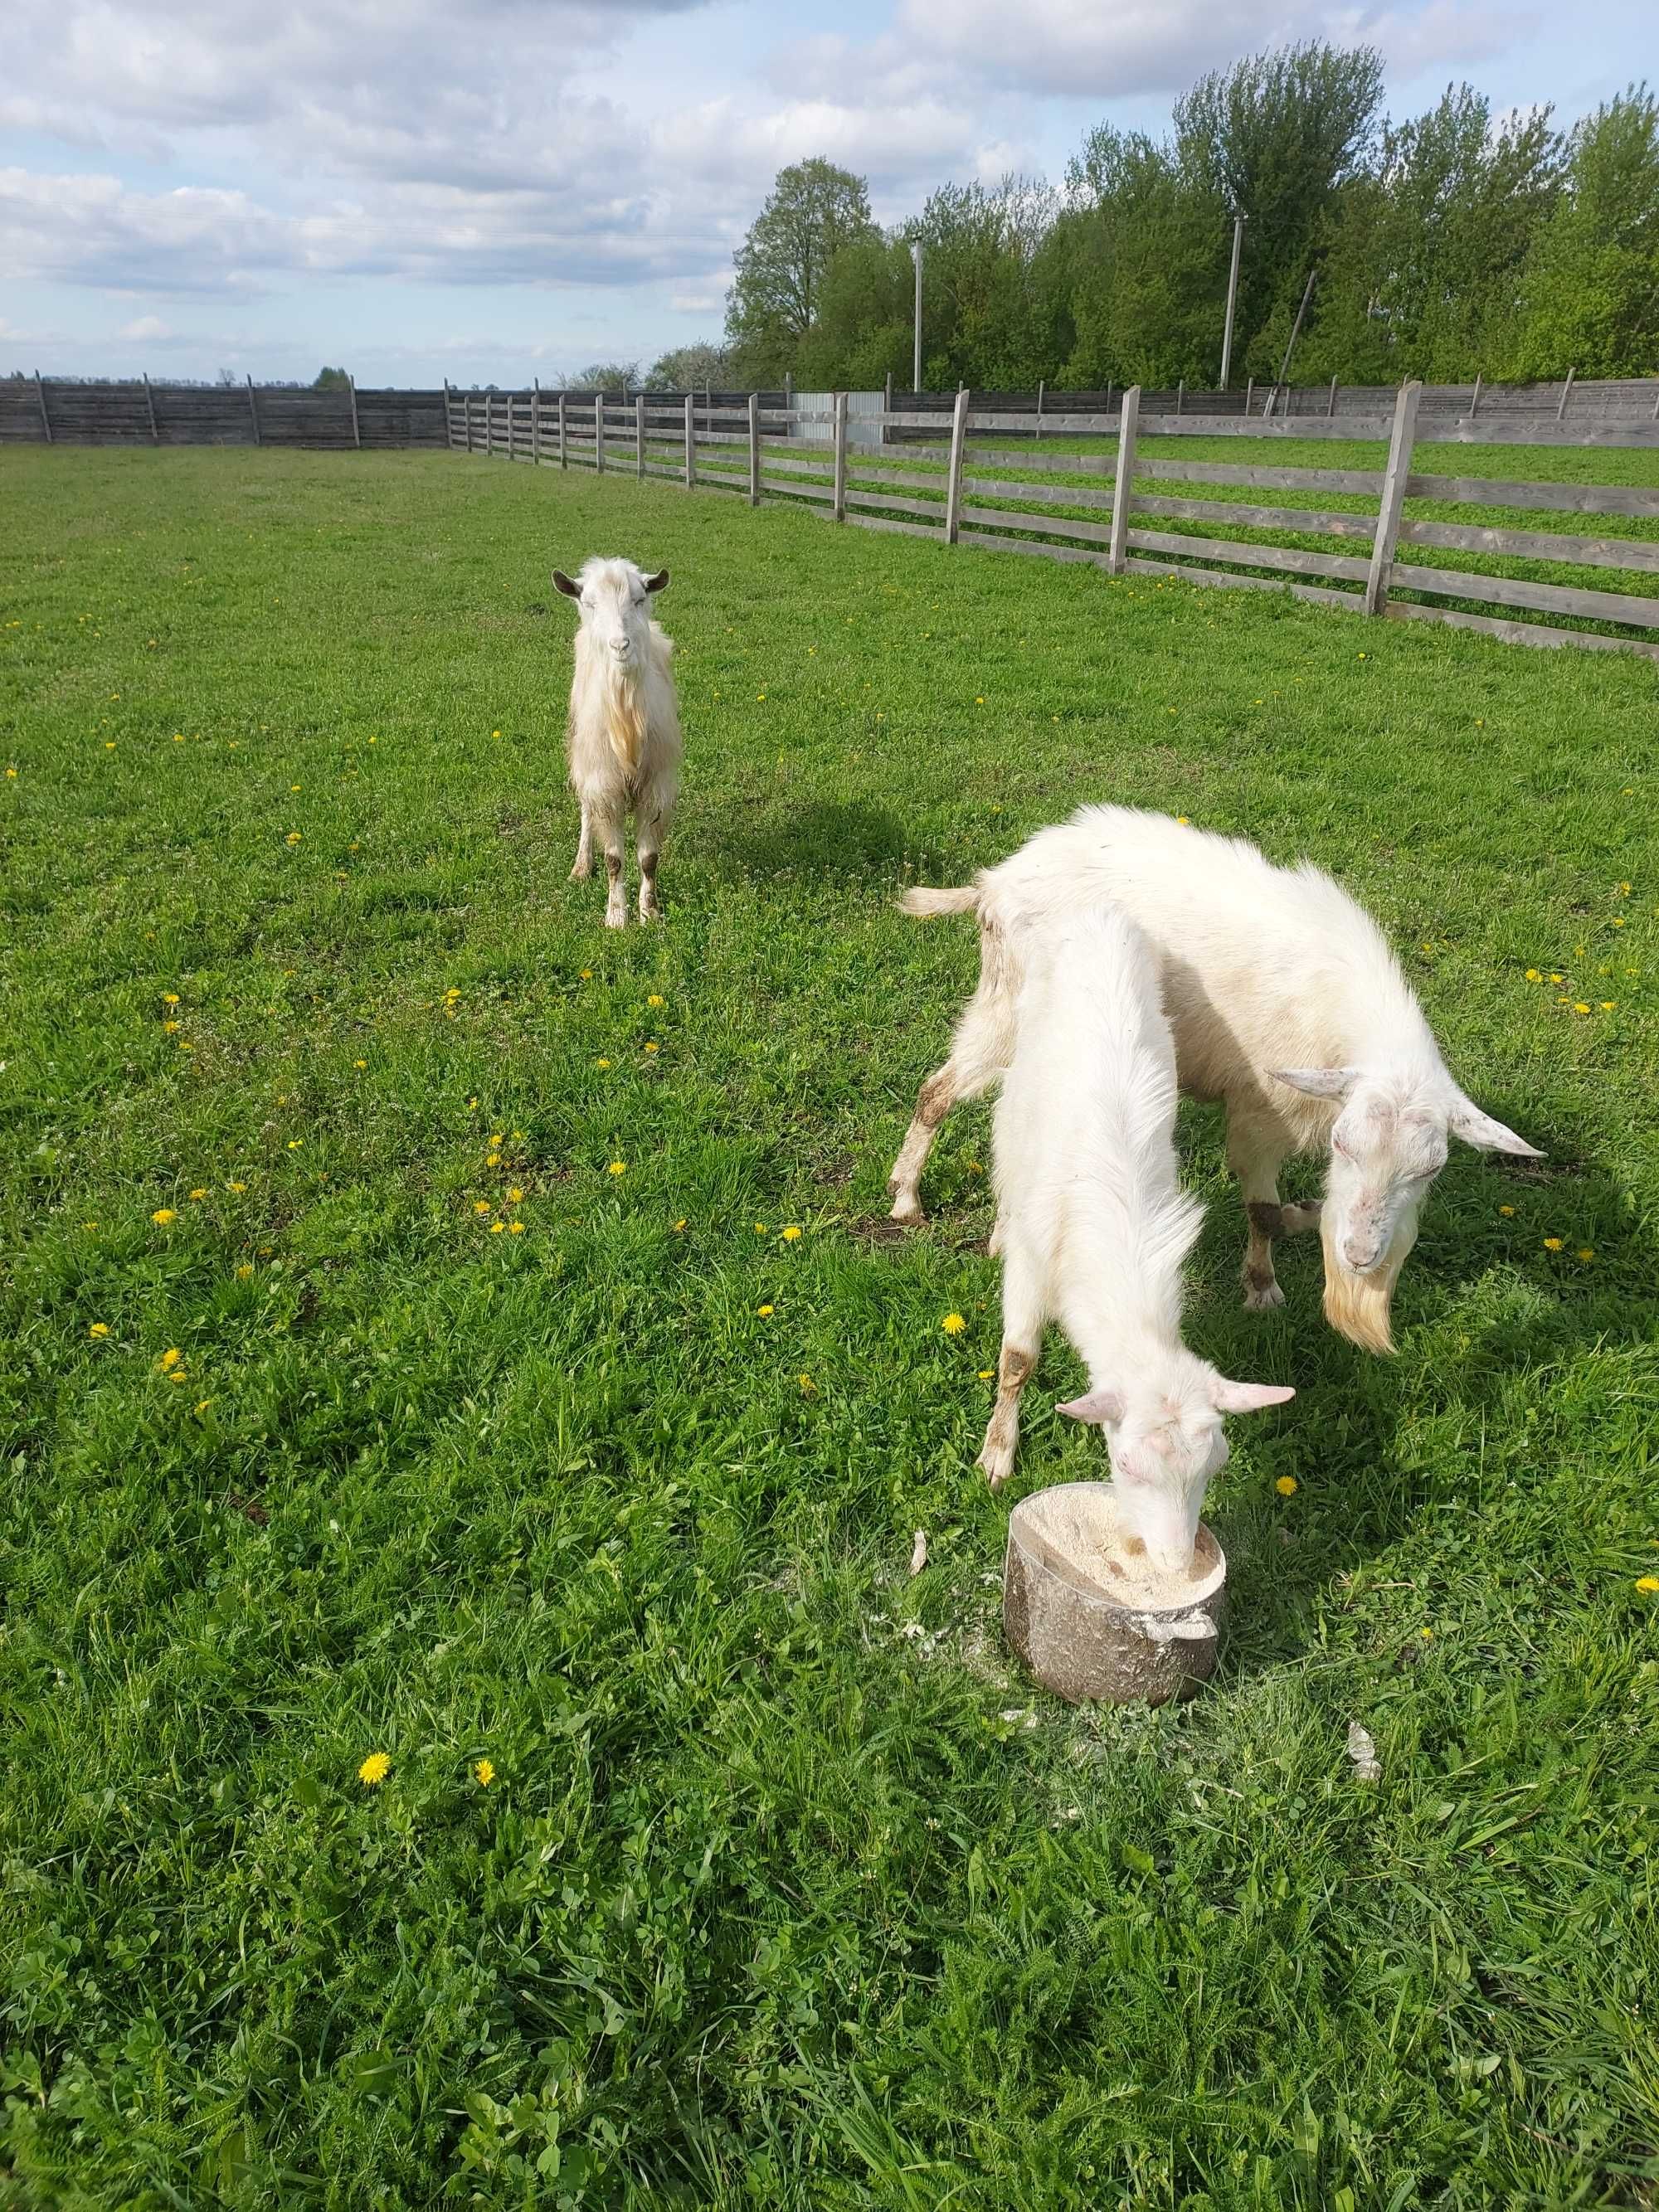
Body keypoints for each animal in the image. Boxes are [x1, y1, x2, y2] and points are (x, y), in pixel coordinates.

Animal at [559, 562, 681, 933]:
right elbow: (614, 858)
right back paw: (581, 866)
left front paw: (649, 913)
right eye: (589, 603)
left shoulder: (658, 784)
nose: (620, 645)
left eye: (640, 599)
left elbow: (649, 858)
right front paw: (616, 916)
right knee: (586, 810)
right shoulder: (603, 782)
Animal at [898, 805, 1548, 1354]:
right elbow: (1262, 1210)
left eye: (1431, 1170)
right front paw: (1261, 1286)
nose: (1361, 1256)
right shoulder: (1262, 1110)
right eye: (1343, 1145)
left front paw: (1308, 1215)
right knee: (940, 1091)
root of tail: (995, 881)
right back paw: (908, 1200)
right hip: (1009, 1004)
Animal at [982, 889, 1292, 1566]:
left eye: (1216, 1465)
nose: (1176, 1563)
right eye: (1124, 1464)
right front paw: (997, 1452)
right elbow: (1018, 1358)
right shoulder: (1033, 1262)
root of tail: (1092, 909)